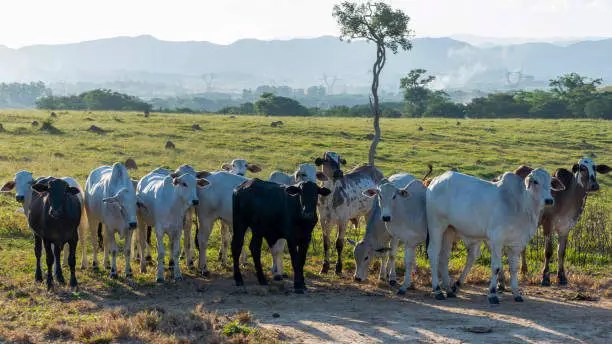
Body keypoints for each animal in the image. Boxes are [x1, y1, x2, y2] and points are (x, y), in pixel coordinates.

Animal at [426, 169, 564, 304]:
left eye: (550, 183)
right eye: (535, 181)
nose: (549, 200)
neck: (520, 205)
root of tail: (436, 180)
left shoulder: (516, 244)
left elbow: (514, 268)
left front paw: (516, 293)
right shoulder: (496, 240)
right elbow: (496, 267)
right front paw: (492, 293)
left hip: (449, 230)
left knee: (444, 257)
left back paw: (449, 290)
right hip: (436, 226)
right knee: (433, 253)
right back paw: (437, 290)